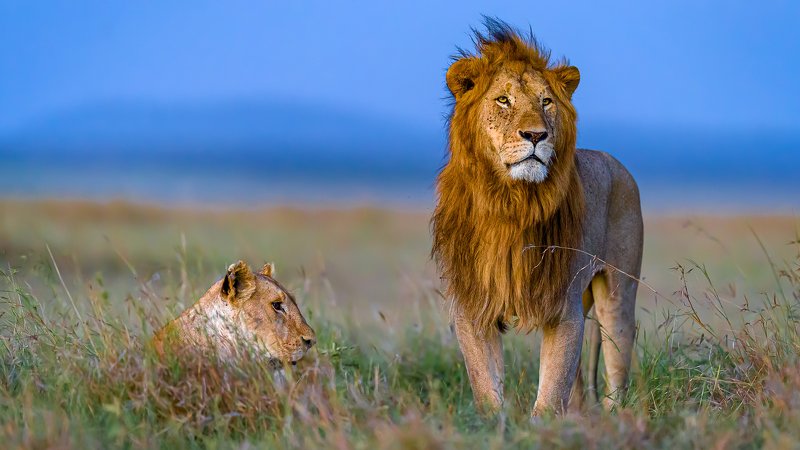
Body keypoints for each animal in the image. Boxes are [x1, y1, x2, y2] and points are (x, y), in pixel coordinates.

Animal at [431, 18, 643, 417]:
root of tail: (616, 163)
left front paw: (541, 425)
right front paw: (493, 423)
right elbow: (485, 383)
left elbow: (552, 388)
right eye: (503, 100)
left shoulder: (564, 306)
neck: (511, 202)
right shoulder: (473, 303)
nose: (535, 135)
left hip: (618, 295)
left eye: (546, 102)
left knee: (616, 367)